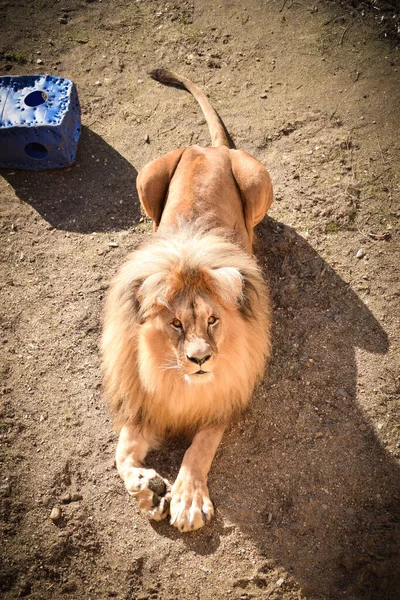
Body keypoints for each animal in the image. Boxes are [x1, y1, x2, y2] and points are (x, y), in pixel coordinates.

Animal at [101, 68, 274, 532]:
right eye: (176, 324)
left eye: (213, 320)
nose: (199, 360)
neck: (177, 381)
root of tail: (209, 149)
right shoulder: (142, 404)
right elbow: (120, 453)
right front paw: (147, 489)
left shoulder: (226, 396)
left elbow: (200, 447)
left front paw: (187, 499)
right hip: (146, 179)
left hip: (258, 181)